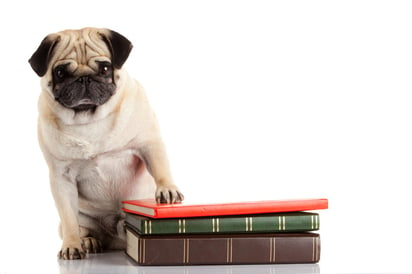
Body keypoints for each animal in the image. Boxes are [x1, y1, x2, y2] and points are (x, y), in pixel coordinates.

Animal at [28, 27, 183, 260]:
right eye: (60, 73)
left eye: (104, 68)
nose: (84, 79)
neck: (88, 120)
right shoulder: (61, 177)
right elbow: (69, 218)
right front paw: (72, 245)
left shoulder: (148, 142)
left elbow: (160, 167)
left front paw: (167, 189)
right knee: (80, 227)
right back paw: (88, 242)